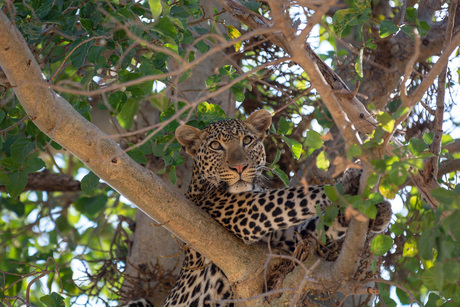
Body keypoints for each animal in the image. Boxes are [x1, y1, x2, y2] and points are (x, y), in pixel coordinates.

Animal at [123, 110, 392, 307]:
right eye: (215, 146)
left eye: (247, 140)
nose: (240, 167)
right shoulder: (245, 211)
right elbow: (294, 196)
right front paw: (344, 186)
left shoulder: (284, 240)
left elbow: (312, 227)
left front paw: (377, 213)